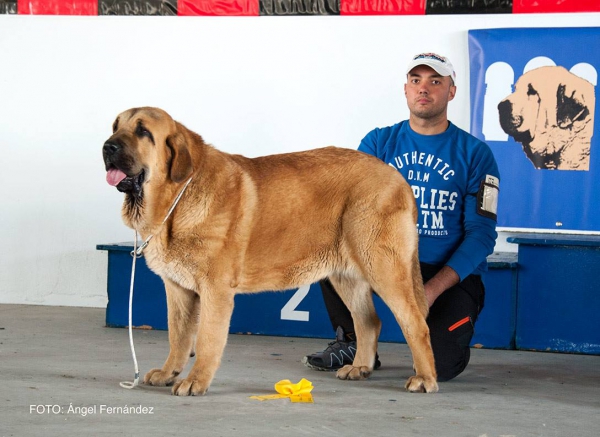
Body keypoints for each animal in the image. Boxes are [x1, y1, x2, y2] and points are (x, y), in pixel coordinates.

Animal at [103, 106, 438, 396]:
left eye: (143, 131)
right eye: (115, 126)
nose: (108, 147)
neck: (177, 197)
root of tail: (398, 179)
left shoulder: (215, 290)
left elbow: (207, 339)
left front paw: (195, 381)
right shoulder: (178, 289)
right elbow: (179, 337)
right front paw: (168, 372)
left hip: (383, 269)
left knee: (415, 323)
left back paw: (425, 378)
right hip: (347, 276)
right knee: (368, 321)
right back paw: (360, 368)